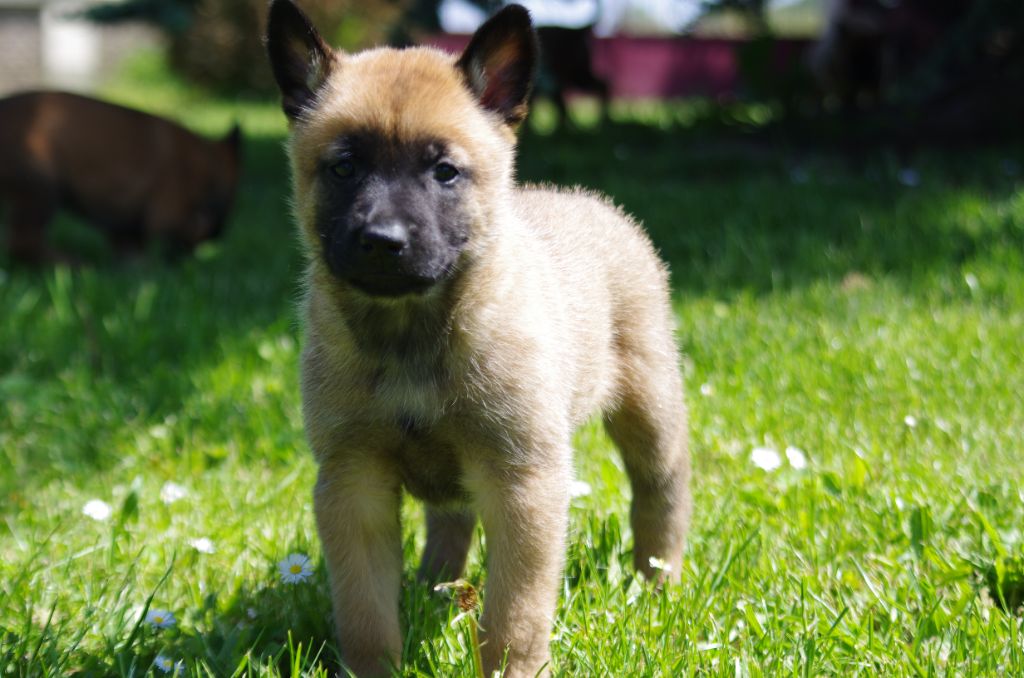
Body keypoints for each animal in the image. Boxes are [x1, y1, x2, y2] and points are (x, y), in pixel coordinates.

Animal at [268, 2, 692, 675]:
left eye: (445, 172)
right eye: (344, 167)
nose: (383, 241)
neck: (412, 334)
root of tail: (595, 205)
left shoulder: (522, 483)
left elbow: (515, 613)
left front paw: (515, 668)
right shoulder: (353, 484)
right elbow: (365, 614)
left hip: (649, 408)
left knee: (661, 489)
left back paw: (657, 580)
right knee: (450, 519)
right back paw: (433, 585)